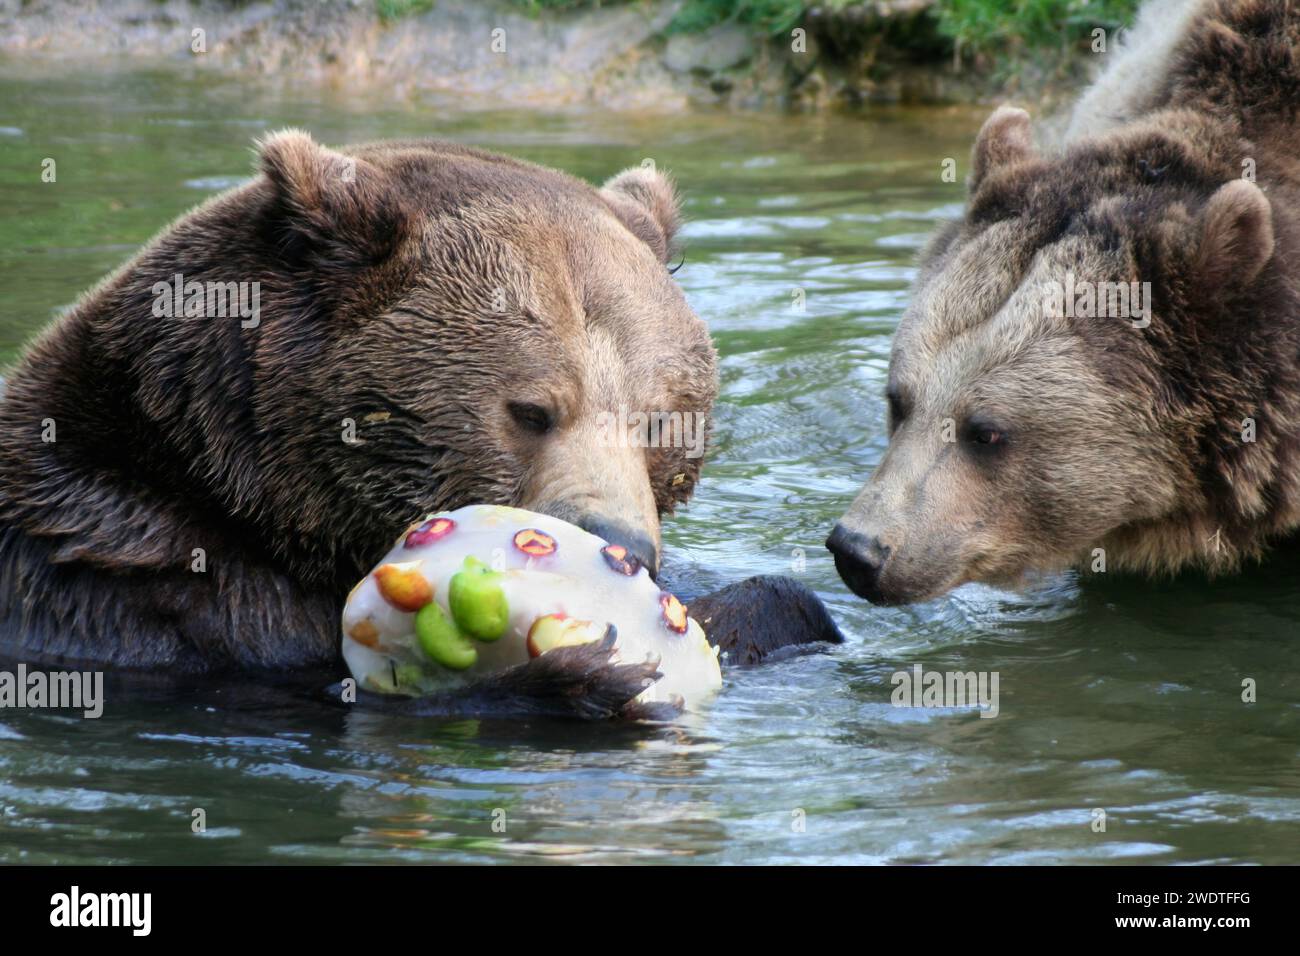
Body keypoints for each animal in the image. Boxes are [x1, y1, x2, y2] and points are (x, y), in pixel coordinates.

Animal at [0, 130, 842, 712]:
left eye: (659, 422)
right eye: (533, 409)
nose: (621, 544)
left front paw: (772, 606)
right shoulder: (146, 586)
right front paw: (588, 668)